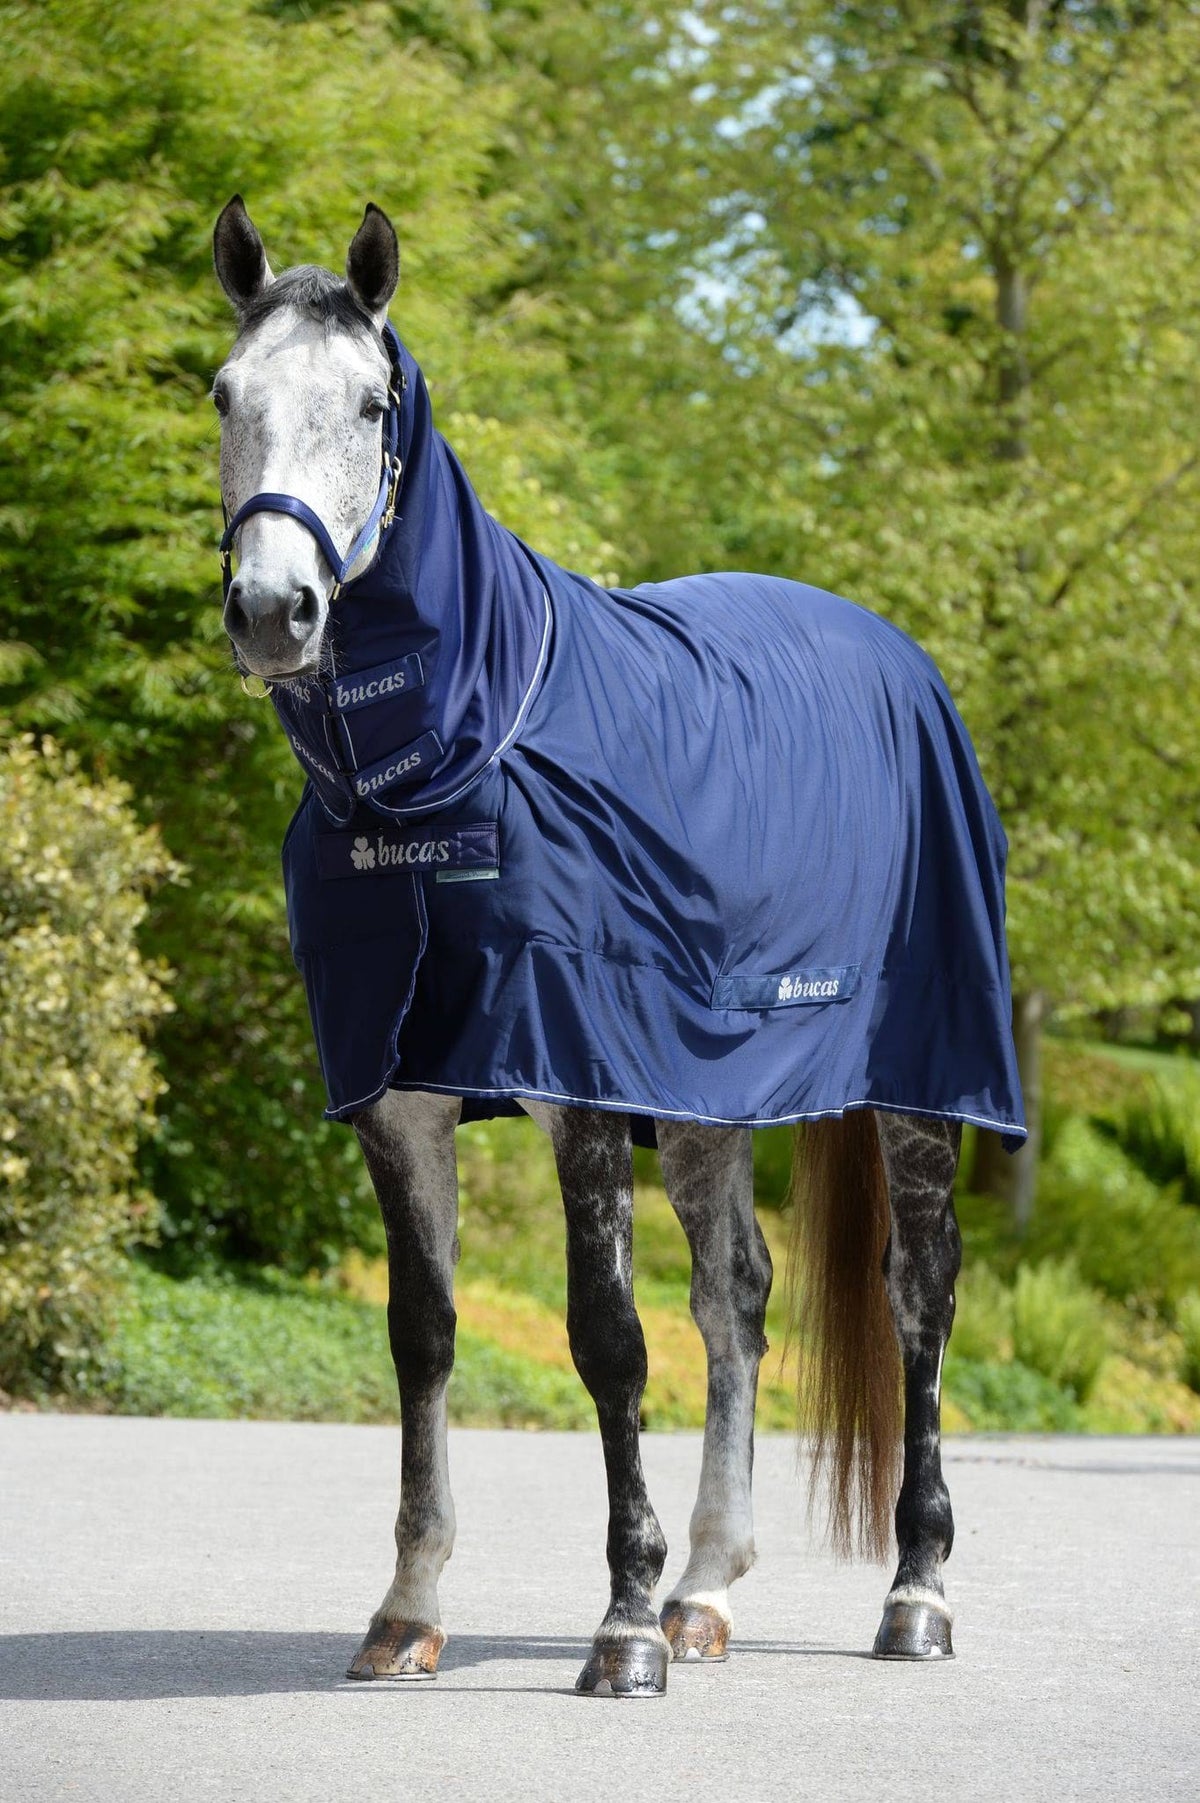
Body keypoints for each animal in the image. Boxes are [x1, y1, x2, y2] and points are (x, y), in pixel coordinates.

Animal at [210, 196, 1025, 1697]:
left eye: (370, 404)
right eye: (226, 393)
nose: (274, 611)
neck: (455, 754)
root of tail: (896, 655)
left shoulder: (577, 1079)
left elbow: (606, 1337)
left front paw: (623, 1623)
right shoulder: (401, 1097)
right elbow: (423, 1335)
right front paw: (408, 1608)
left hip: (918, 1086)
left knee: (918, 1298)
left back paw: (912, 1593)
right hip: (706, 1091)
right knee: (739, 1295)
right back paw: (709, 1586)